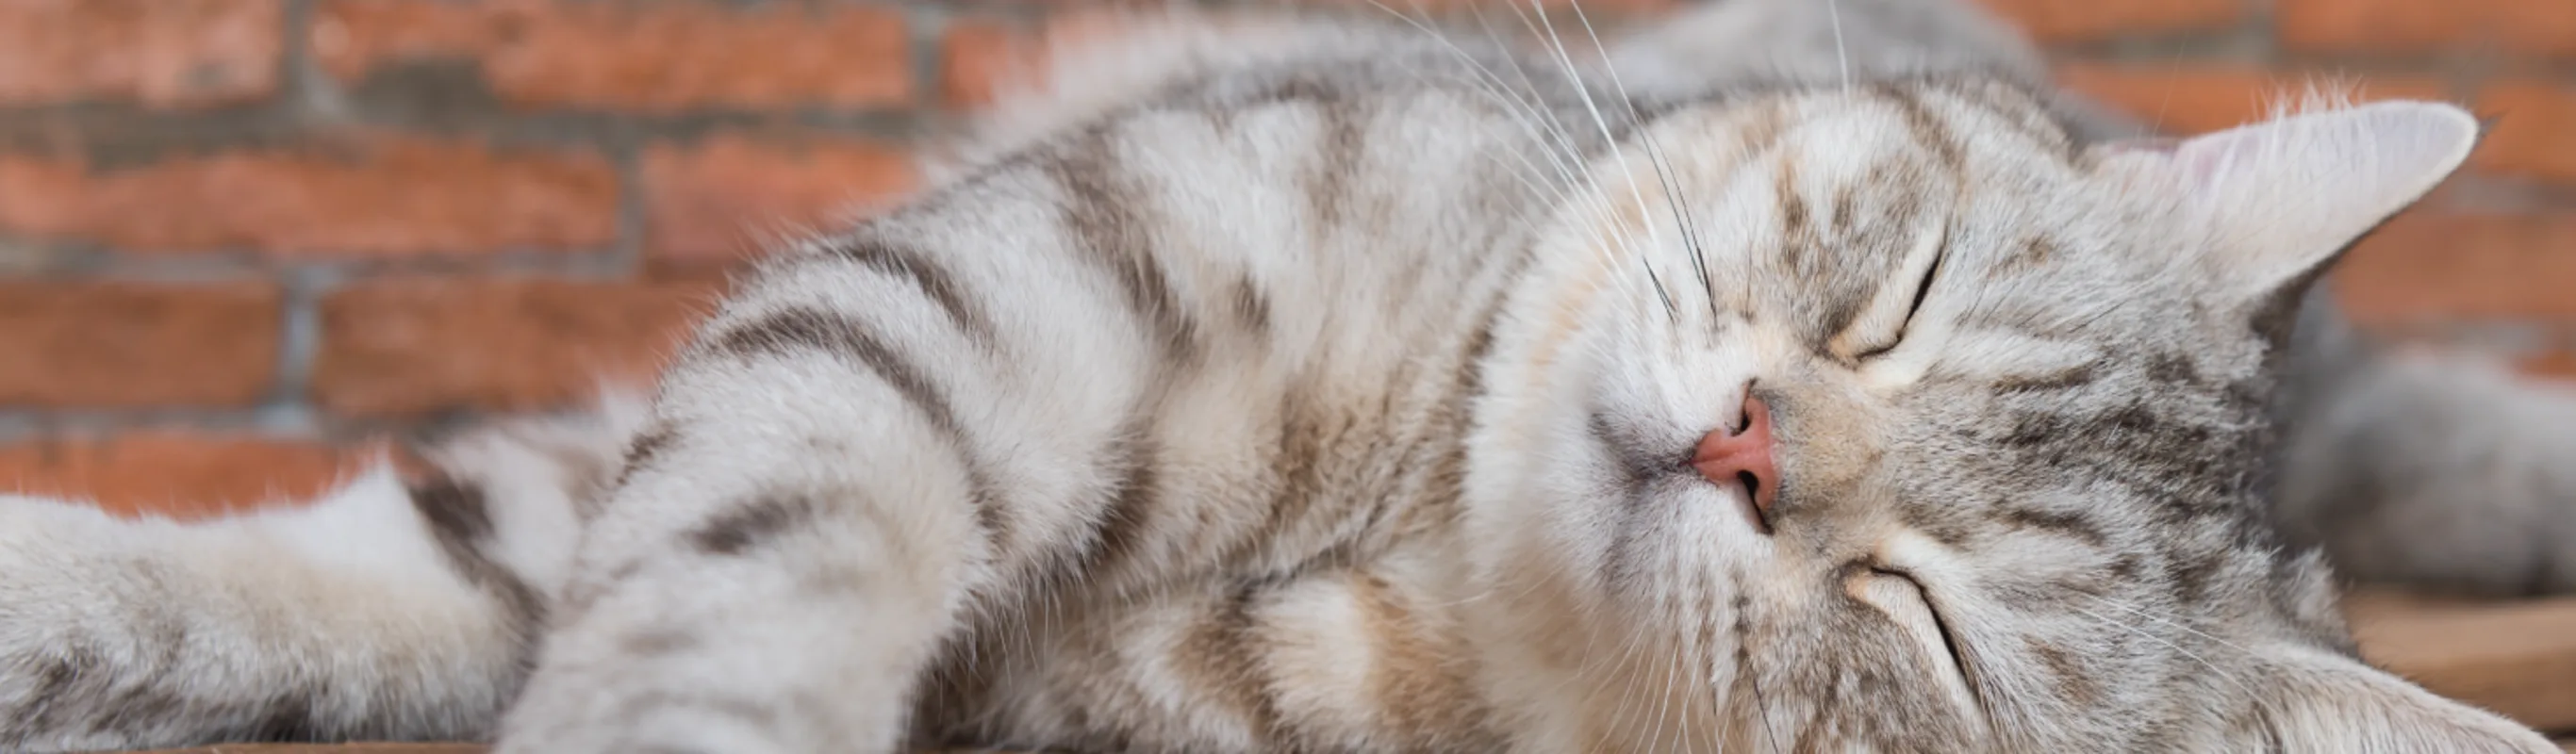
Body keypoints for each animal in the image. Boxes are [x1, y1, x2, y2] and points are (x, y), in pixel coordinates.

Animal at [5, 0, 2576, 746]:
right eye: (1898, 296)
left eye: (1919, 619)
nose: (1754, 441)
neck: (1413, 517)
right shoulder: (987, 301)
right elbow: (597, 561)